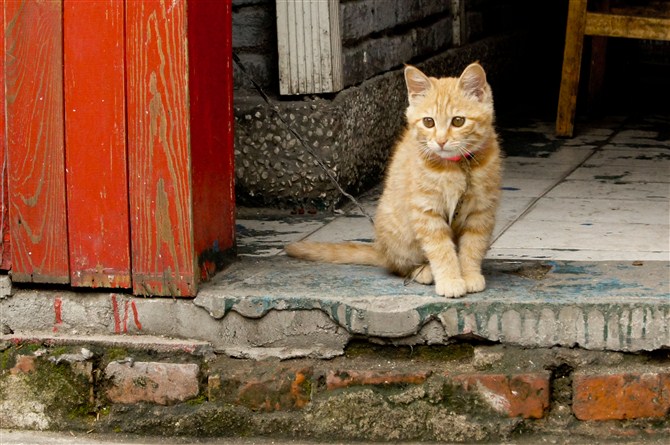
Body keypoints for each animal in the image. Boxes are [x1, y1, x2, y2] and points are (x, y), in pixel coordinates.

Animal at [286, 62, 502, 298]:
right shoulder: (426, 211)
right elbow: (440, 249)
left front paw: (469, 274)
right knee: (400, 266)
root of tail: (382, 250)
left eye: (458, 121)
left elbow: (473, 245)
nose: (441, 141)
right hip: (401, 235)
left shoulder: (481, 210)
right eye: (428, 122)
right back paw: (423, 271)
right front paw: (451, 280)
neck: (454, 167)